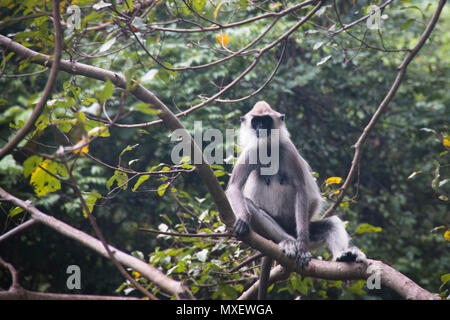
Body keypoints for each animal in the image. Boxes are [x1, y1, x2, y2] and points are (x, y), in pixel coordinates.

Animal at [227, 100, 368, 300]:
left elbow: (302, 190)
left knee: (331, 224)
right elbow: (234, 187)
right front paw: (243, 220)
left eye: (266, 121)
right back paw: (288, 242)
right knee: (251, 207)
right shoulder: (251, 151)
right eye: (256, 122)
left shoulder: (289, 150)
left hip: (306, 231)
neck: (268, 148)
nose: (261, 128)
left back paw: (340, 255)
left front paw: (302, 248)